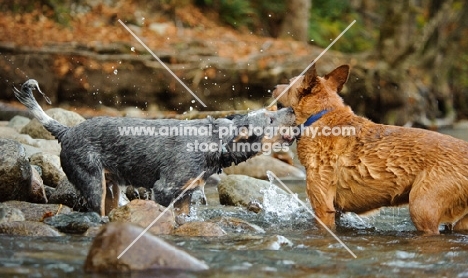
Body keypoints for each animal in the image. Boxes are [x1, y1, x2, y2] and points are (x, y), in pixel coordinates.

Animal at [14, 79, 296, 216]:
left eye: (273, 110)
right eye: (270, 119)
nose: (292, 109)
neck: (215, 141)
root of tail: (67, 131)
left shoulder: (185, 195)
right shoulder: (165, 189)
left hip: (112, 187)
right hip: (93, 183)